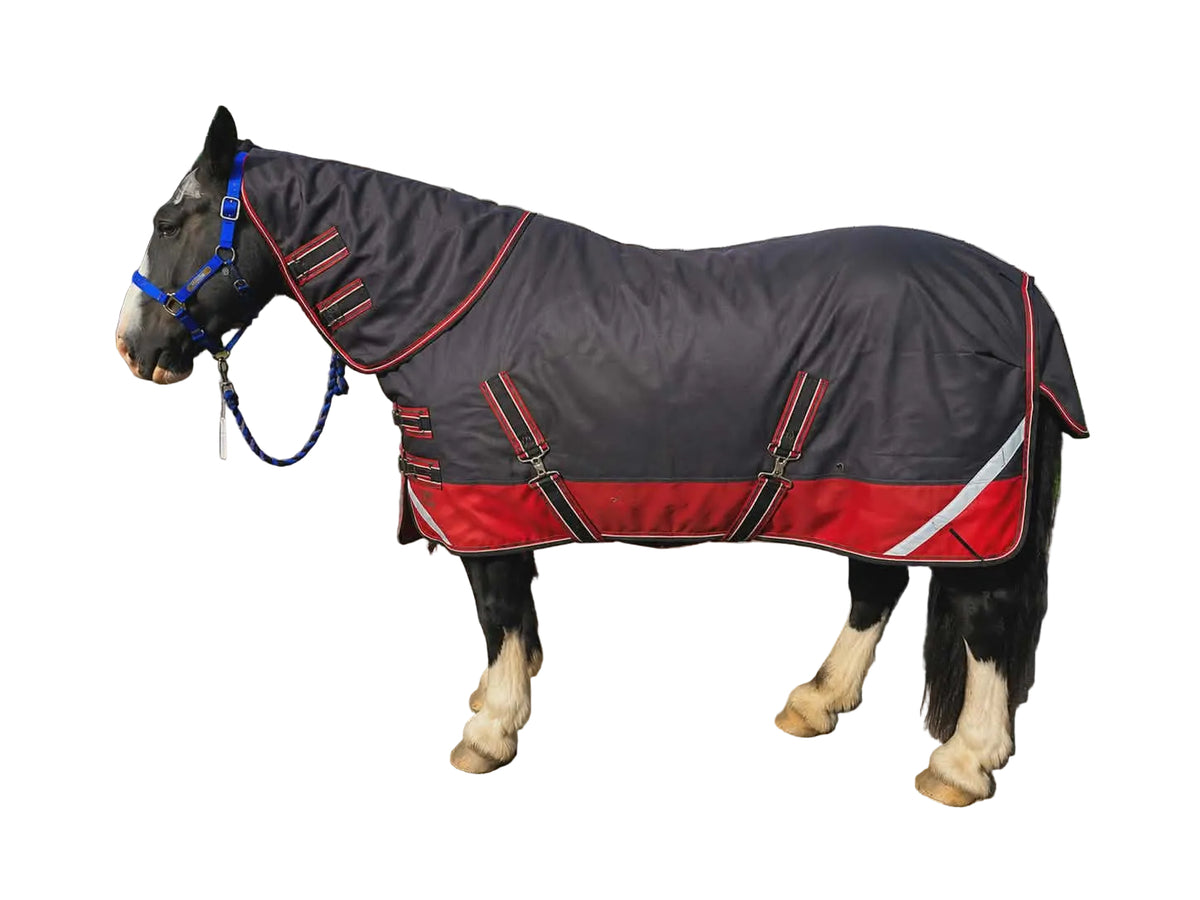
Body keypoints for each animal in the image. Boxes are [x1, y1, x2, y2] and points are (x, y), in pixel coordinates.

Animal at [116, 107, 1088, 806]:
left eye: (171, 217)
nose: (133, 346)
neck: (445, 300)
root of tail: (1023, 295)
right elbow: (515, 620)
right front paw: (493, 703)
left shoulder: (488, 503)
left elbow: (499, 611)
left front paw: (491, 732)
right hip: (878, 496)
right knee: (875, 590)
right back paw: (815, 703)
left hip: (950, 500)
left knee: (986, 620)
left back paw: (962, 764)